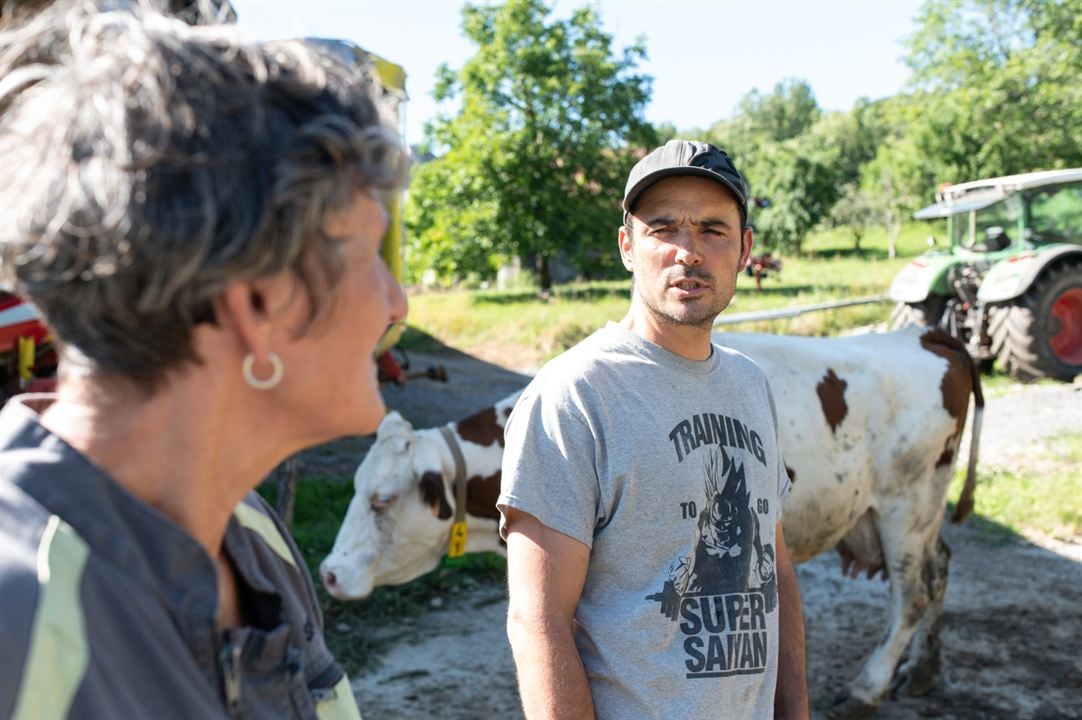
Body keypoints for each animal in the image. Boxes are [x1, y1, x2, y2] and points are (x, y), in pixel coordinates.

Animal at [318, 324, 982, 714]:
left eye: (381, 499)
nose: (328, 572)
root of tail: (924, 334)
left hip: (906, 502)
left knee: (912, 594)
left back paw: (872, 683)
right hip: (913, 509)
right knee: (942, 570)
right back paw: (925, 670)